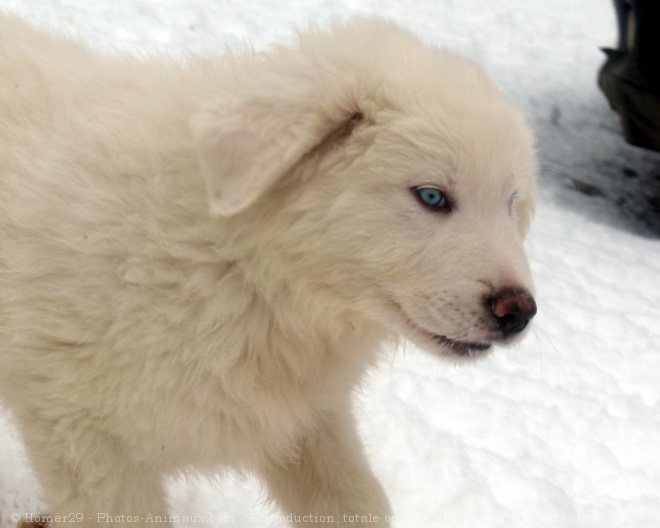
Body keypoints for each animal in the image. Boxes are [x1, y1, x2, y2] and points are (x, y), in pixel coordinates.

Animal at [0, 15, 536, 528]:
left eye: (511, 204)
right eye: (431, 196)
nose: (520, 312)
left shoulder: (303, 416)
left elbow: (355, 501)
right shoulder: (81, 429)